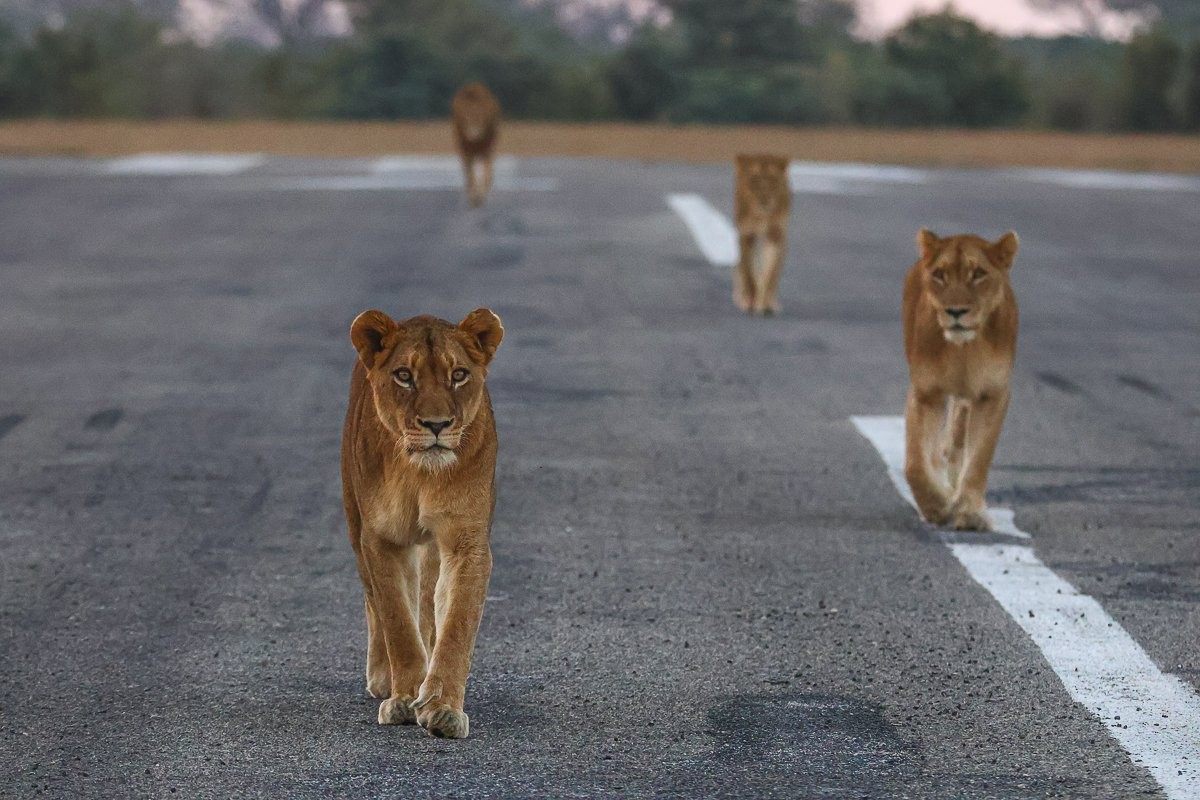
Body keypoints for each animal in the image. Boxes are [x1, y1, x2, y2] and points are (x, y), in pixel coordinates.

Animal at [341, 307, 504, 739]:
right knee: (375, 603)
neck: (420, 474)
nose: (436, 425)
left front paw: (443, 707)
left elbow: (457, 624)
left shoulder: (466, 541)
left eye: (459, 374)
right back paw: (383, 678)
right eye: (404, 375)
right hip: (354, 526)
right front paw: (404, 698)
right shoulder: (380, 539)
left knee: (430, 605)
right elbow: (397, 619)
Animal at [733, 154, 791, 315]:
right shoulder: (747, 234)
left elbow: (770, 273)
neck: (762, 215)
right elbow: (749, 271)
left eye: (773, 180)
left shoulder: (776, 236)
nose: (764, 200)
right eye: (754, 179)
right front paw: (750, 301)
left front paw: (765, 305)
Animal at [903, 229, 1019, 532]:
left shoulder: (992, 394)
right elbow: (915, 465)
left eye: (978, 273)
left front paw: (969, 514)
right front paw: (936, 506)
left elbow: (979, 459)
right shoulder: (925, 393)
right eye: (940, 275)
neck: (964, 350)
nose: (955, 311)